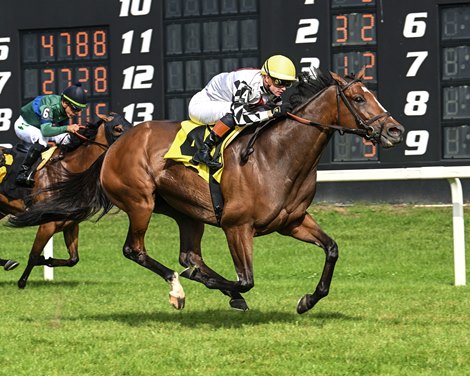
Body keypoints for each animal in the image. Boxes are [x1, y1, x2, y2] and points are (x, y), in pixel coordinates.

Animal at [1, 113, 132, 286]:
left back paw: (8, 262)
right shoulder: (47, 224)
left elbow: (73, 259)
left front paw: (47, 260)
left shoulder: (70, 222)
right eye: (117, 128)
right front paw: (22, 282)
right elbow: (33, 255)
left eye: (130, 124)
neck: (68, 171)